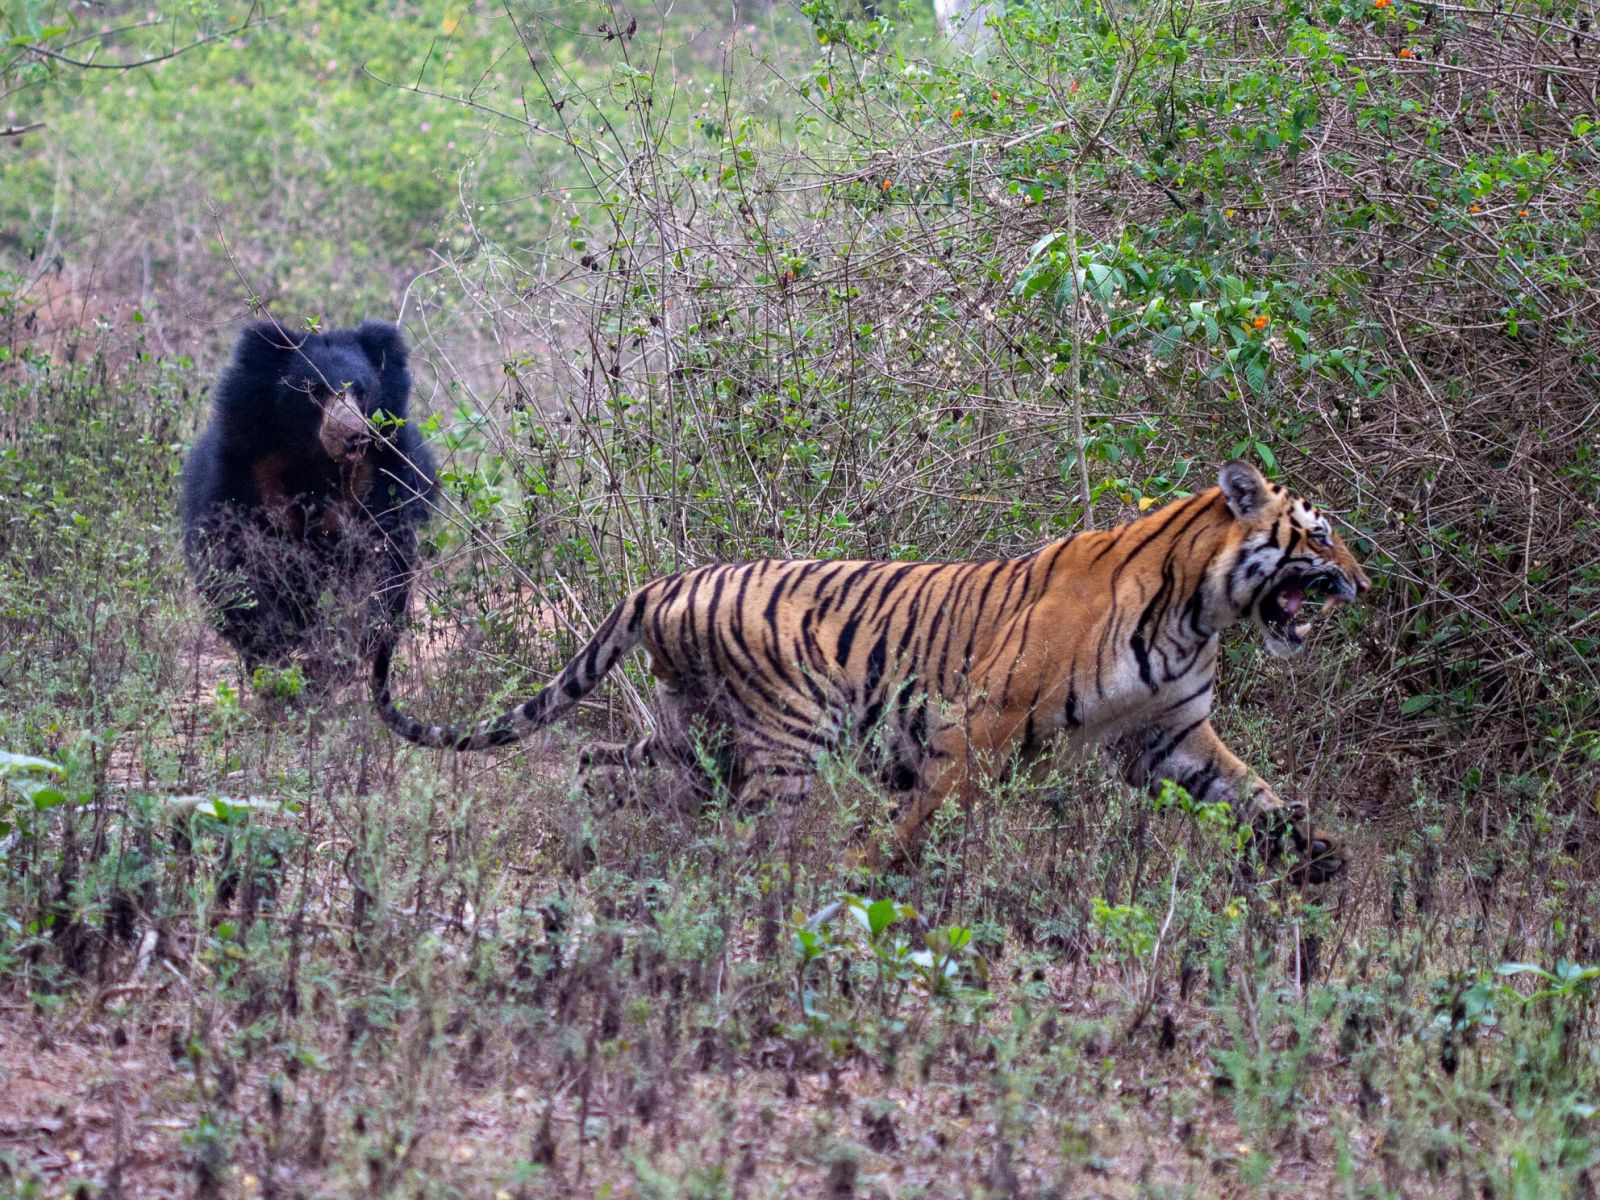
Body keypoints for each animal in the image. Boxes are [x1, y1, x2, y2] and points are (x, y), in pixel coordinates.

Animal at [183, 321, 438, 694]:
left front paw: (346, 643)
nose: (354, 437)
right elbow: (235, 564)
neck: (317, 463)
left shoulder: (384, 478)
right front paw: (280, 649)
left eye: (362, 392)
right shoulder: (242, 474)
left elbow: (383, 559)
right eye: (315, 392)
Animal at [371, 460, 1363, 883]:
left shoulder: (1169, 734)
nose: (1361, 578)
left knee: (599, 765)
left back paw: (596, 849)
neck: (1200, 610)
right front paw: (865, 876)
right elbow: (923, 815)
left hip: (692, 739)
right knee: (751, 839)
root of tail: (660, 582)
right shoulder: (983, 723)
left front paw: (1317, 855)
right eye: (1316, 536)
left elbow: (1253, 792)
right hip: (785, 739)